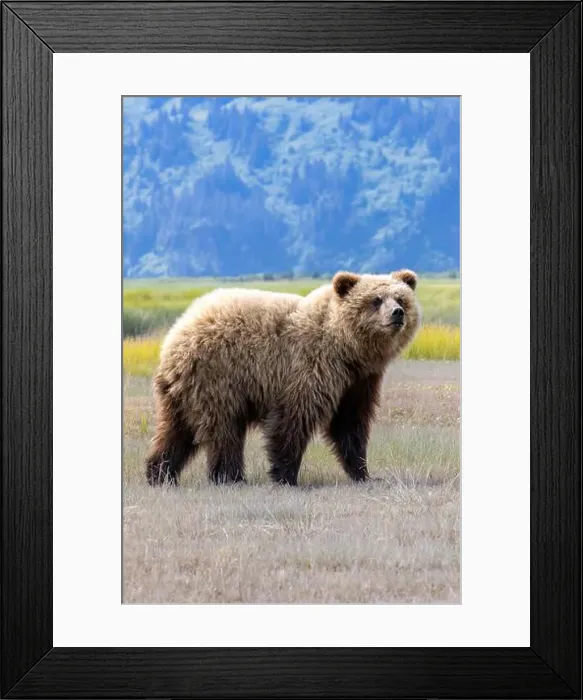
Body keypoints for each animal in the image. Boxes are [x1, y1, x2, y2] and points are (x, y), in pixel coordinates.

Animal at [145, 269, 421, 487]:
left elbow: (350, 425)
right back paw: (231, 476)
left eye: (400, 298)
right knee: (224, 430)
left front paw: (364, 473)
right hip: (217, 378)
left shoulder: (358, 382)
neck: (347, 350)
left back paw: (159, 473)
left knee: (175, 431)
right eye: (376, 300)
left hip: (181, 392)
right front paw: (286, 475)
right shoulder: (307, 368)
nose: (397, 313)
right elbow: (293, 420)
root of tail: (177, 331)